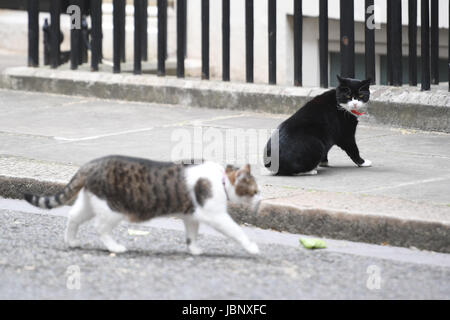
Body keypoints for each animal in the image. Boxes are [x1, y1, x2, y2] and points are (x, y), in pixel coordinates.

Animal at [24, 155, 262, 255]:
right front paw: (252, 247)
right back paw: (115, 248)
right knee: (100, 228)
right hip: (113, 208)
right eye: (255, 190)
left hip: (91, 203)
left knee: (73, 216)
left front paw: (194, 250)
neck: (221, 180)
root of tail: (90, 164)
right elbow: (236, 231)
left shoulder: (191, 216)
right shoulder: (215, 215)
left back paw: (71, 241)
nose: (261, 199)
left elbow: (191, 235)